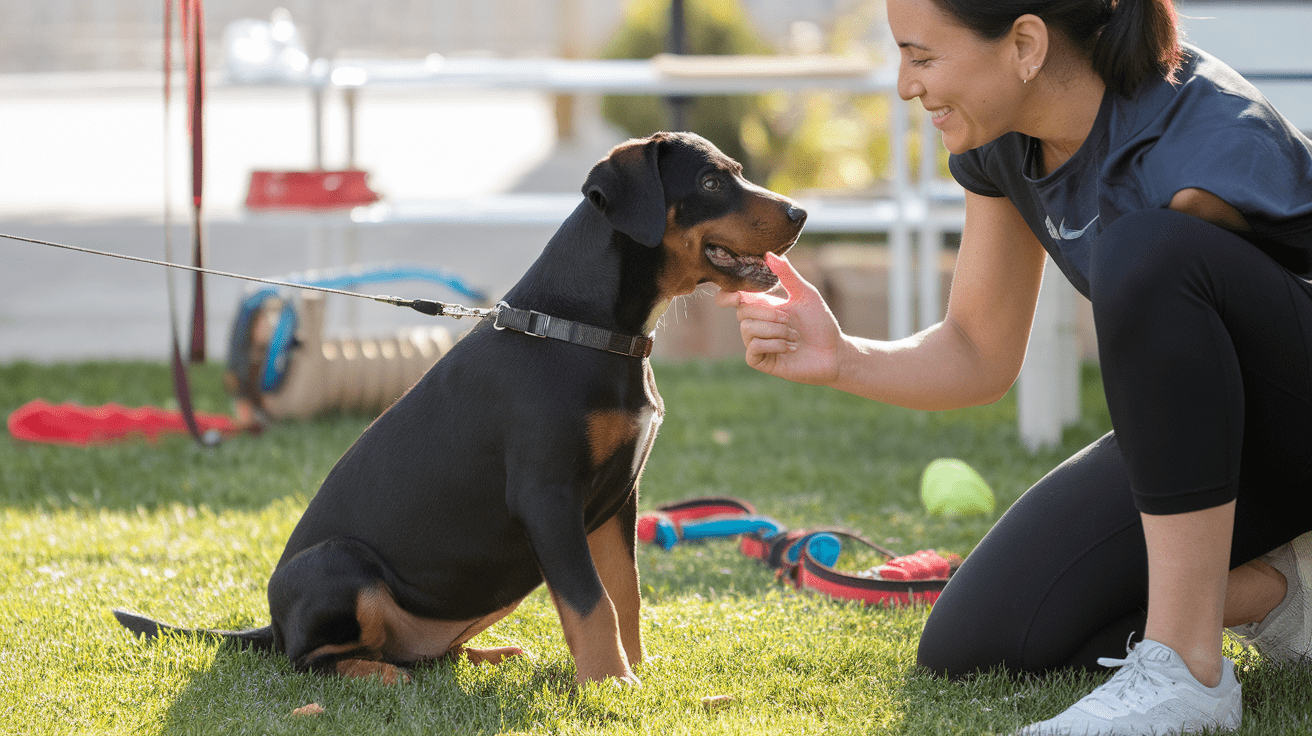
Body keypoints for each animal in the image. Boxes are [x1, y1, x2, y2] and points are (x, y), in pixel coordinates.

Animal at [115, 130, 808, 682]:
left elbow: (625, 595)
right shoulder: (547, 495)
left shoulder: (617, 501)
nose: (801, 212)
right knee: (310, 661)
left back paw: (487, 654)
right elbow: (591, 602)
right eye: (712, 181)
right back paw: (377, 676)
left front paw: (639, 675)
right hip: (341, 564)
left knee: (418, 649)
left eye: (737, 171)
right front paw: (613, 688)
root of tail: (270, 623)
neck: (587, 332)